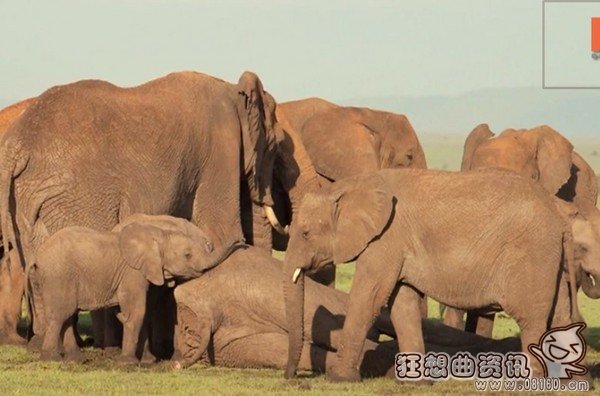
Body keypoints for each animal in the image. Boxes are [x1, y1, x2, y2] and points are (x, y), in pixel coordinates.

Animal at [0, 70, 282, 344]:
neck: (231, 88)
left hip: (29, 194)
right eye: (272, 147)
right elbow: (221, 230)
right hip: (76, 193)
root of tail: (16, 145)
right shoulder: (220, 151)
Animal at [29, 215, 245, 364]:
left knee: (66, 314)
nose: (241, 241)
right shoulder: (133, 273)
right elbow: (137, 310)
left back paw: (76, 360)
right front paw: (128, 363)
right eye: (187, 255)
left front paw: (143, 361)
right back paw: (51, 359)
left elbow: (140, 310)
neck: (159, 236)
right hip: (59, 276)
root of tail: (38, 256)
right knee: (60, 314)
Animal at [282, 169, 584, 382]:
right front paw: (413, 382)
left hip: (532, 254)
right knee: (560, 317)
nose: (291, 377)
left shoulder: (386, 239)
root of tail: (560, 219)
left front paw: (340, 379)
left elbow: (367, 297)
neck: (351, 185)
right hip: (553, 260)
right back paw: (570, 384)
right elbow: (402, 304)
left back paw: (529, 384)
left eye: (305, 233)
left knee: (532, 318)